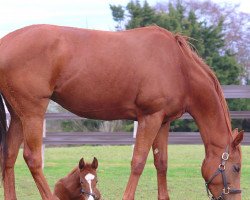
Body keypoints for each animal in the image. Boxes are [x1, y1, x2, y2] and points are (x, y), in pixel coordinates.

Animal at [0, 24, 242, 199]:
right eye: (237, 168)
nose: (236, 197)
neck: (178, 66)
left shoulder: (163, 122)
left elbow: (161, 163)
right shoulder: (149, 118)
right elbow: (138, 162)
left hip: (18, 115)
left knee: (9, 156)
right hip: (32, 113)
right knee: (32, 159)